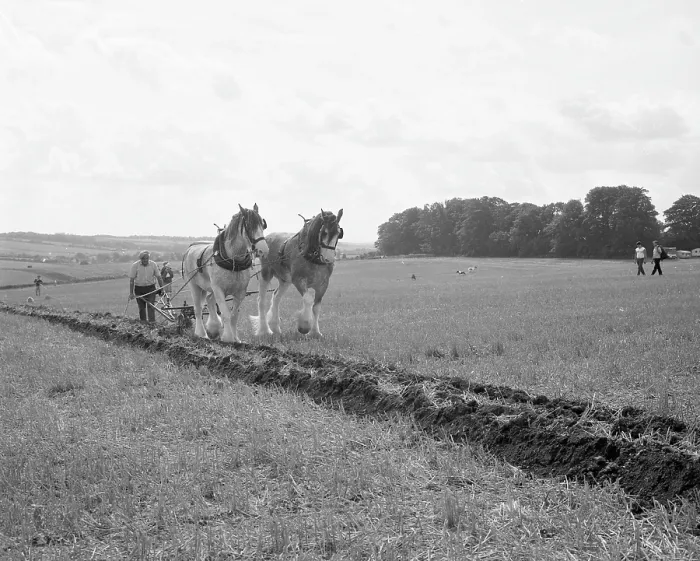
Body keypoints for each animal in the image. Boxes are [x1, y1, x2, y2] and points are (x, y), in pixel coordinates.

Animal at [181, 203, 269, 343]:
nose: (263, 250)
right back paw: (201, 333)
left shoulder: (240, 292)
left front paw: (236, 339)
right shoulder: (218, 289)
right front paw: (227, 337)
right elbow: (226, 314)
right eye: (249, 226)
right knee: (198, 309)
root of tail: (190, 248)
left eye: (263, 225)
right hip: (194, 285)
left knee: (209, 300)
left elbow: (234, 315)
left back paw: (213, 328)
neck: (233, 260)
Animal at [251, 208, 343, 337]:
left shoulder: (323, 285)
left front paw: (315, 332)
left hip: (285, 280)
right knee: (261, 301)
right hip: (265, 274)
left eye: (339, 233)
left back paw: (275, 327)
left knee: (276, 297)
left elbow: (316, 307)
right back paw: (264, 330)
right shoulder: (298, 280)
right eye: (324, 232)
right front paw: (304, 326)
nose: (329, 259)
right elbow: (308, 300)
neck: (311, 256)